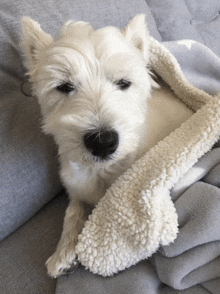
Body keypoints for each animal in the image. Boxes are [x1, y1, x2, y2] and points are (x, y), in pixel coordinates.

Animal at [21, 14, 192, 278]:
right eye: (64, 86)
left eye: (123, 83)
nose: (102, 142)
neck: (102, 171)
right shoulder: (76, 185)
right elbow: (72, 211)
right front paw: (63, 252)